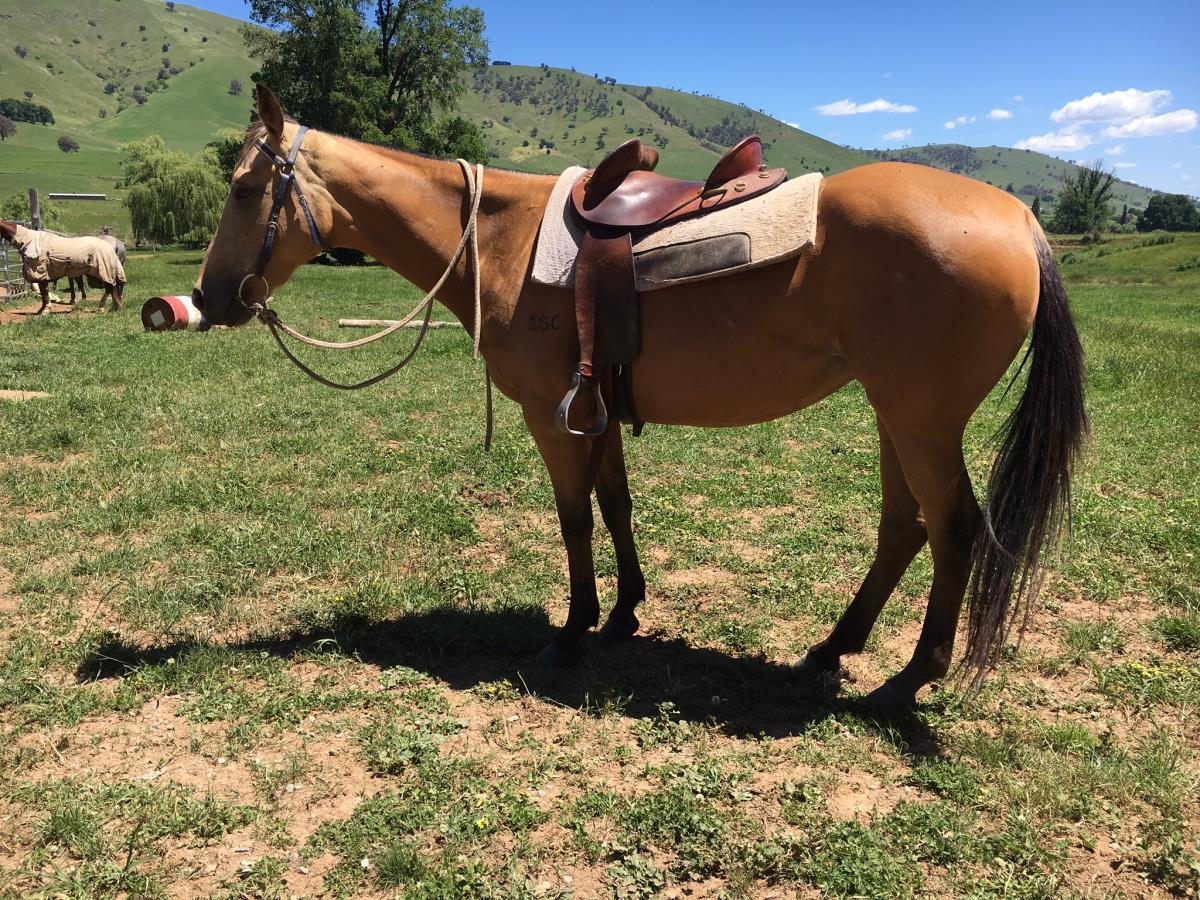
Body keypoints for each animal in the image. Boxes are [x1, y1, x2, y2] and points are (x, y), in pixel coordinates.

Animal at [192, 86, 1087, 714]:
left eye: (242, 189)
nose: (206, 297)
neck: (499, 239)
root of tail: (1021, 220)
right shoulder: (598, 407)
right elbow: (616, 504)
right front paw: (624, 611)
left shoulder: (550, 412)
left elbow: (573, 518)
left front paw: (573, 631)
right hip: (892, 414)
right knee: (905, 528)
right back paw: (834, 648)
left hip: (920, 419)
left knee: (955, 529)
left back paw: (909, 679)